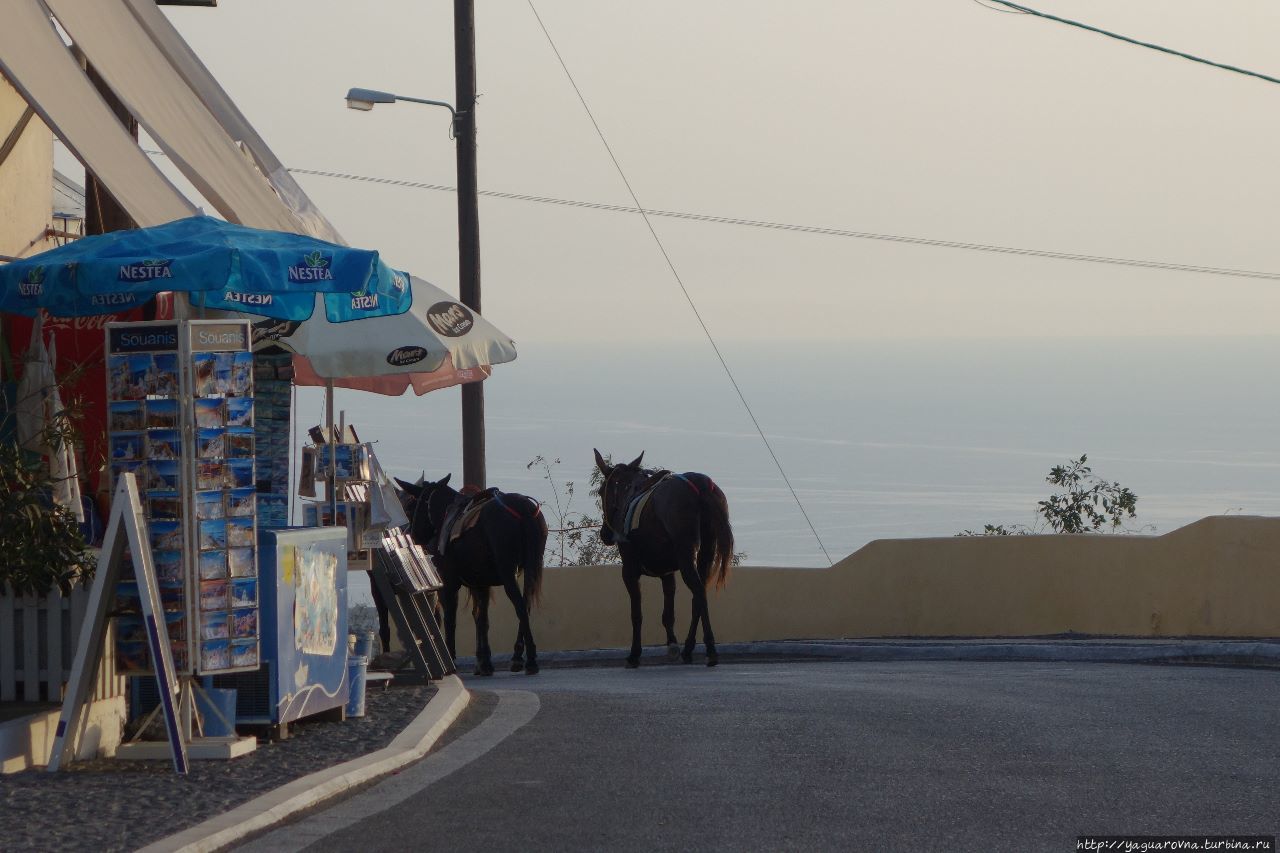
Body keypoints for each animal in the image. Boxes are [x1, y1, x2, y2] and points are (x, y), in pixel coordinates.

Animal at [394, 473, 545, 676]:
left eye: (411, 506)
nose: (412, 534)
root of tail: (524, 510)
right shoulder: (481, 584)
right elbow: (482, 619)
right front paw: (484, 663)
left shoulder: (449, 584)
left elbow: (451, 619)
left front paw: (452, 660)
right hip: (531, 566)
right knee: (526, 605)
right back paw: (518, 656)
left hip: (507, 571)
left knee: (520, 606)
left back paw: (529, 660)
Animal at [593, 445, 737, 666]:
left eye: (601, 490)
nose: (605, 534)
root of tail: (700, 486)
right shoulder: (667, 574)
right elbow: (668, 614)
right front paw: (672, 644)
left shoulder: (629, 572)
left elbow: (636, 613)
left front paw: (635, 653)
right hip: (706, 552)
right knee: (698, 596)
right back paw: (688, 648)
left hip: (686, 554)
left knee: (698, 591)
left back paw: (710, 649)